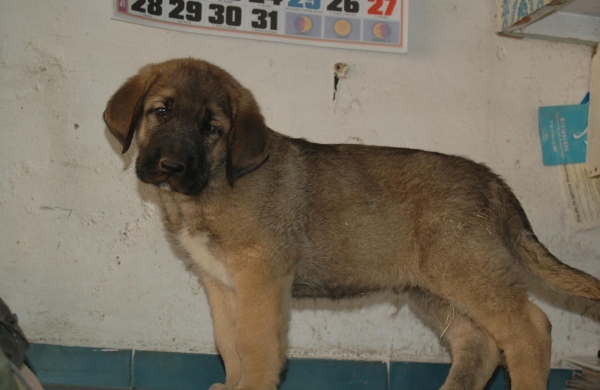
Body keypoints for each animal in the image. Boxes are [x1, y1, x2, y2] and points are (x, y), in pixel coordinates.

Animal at [103, 58, 600, 390]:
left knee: (528, 330)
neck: (211, 186)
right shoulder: (221, 283)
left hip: (468, 272)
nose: (170, 167)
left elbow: (255, 343)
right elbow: (229, 343)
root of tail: (493, 182)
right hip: (435, 289)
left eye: (212, 128)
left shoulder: (262, 276)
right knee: (479, 346)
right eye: (160, 112)